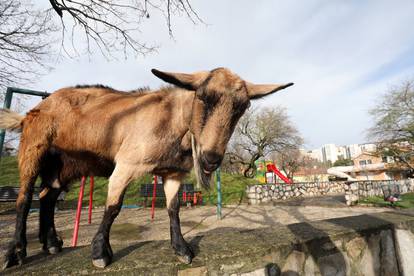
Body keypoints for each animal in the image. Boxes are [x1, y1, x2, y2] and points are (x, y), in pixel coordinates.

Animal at [0, 67, 292, 270]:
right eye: (202, 97)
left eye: (243, 107)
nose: (211, 159)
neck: (173, 122)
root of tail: (31, 112)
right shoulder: (126, 164)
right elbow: (113, 207)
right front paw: (100, 253)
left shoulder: (173, 174)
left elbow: (173, 208)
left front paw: (182, 249)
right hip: (33, 148)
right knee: (25, 198)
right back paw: (16, 253)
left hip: (63, 166)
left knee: (47, 197)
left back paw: (51, 243)